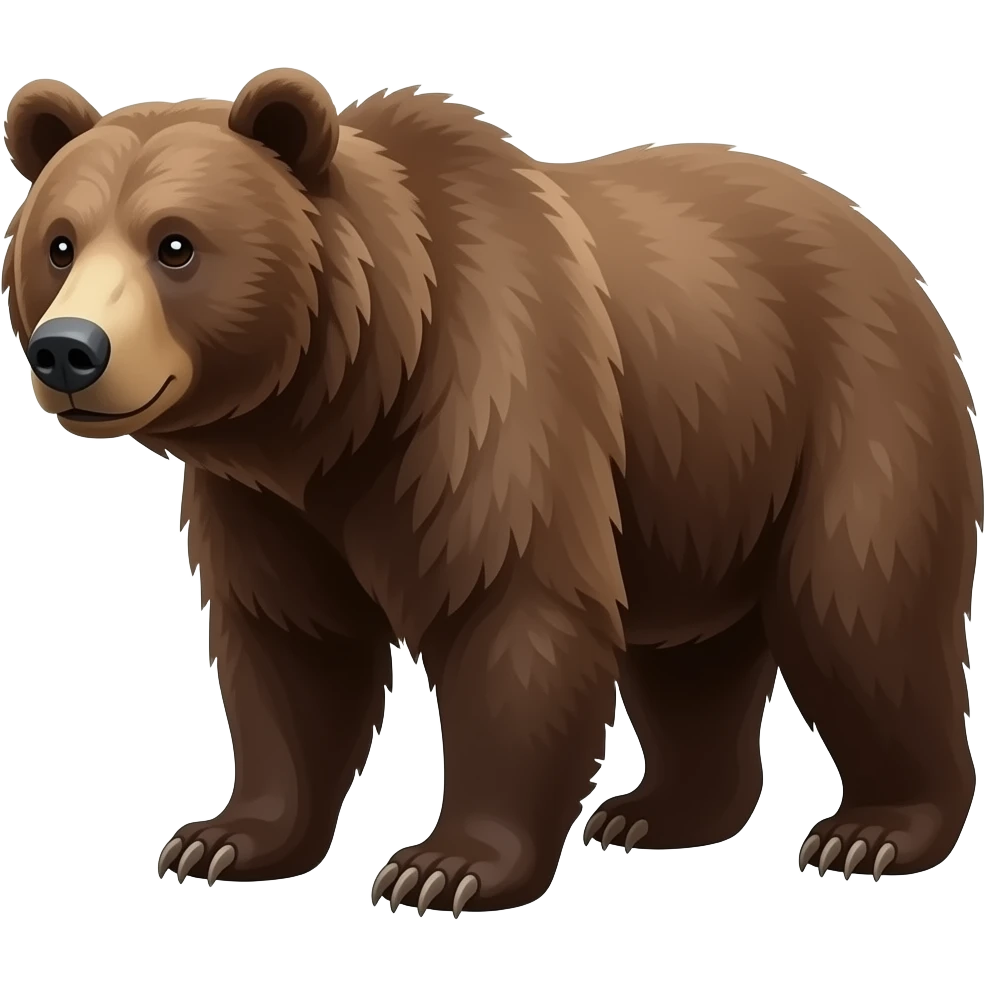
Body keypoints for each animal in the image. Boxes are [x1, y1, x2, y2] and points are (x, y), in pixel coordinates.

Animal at [3, 70, 981, 912]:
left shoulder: (490, 402)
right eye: (59, 242)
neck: (337, 407)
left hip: (856, 410)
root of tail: (881, 241)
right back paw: (655, 812)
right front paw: (223, 838)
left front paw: (444, 866)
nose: (69, 350)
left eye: (176, 244)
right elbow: (292, 647)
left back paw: (874, 832)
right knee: (690, 655)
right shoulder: (266, 505)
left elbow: (512, 614)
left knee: (858, 612)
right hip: (706, 474)